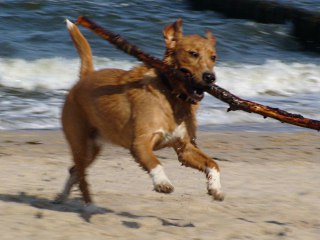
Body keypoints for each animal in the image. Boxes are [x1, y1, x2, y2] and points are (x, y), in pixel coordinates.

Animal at [55, 18, 224, 210]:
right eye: (193, 53)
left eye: (213, 57)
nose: (210, 77)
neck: (172, 95)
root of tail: (86, 76)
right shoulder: (140, 143)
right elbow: (155, 162)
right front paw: (162, 182)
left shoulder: (185, 149)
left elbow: (213, 163)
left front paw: (215, 187)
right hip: (81, 145)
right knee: (82, 175)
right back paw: (89, 205)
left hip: (92, 149)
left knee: (74, 170)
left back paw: (63, 197)